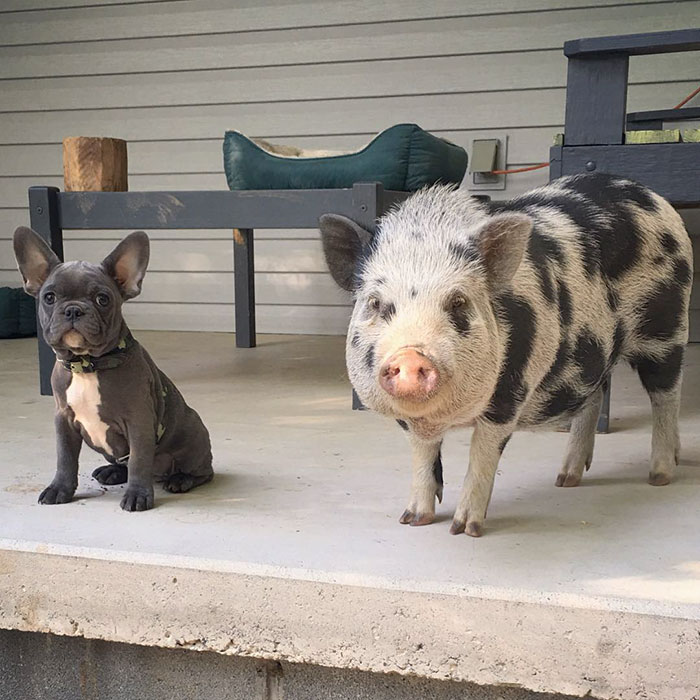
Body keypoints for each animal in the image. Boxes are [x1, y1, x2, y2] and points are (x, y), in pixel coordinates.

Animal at [12, 227, 212, 512]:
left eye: (102, 299)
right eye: (49, 297)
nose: (73, 310)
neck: (88, 365)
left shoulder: (139, 421)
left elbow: (139, 460)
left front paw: (138, 495)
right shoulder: (63, 420)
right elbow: (65, 459)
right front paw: (59, 489)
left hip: (193, 434)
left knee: (199, 470)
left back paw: (180, 479)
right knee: (124, 463)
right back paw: (113, 471)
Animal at [320, 174, 692, 536]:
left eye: (458, 302)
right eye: (375, 303)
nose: (411, 356)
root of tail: (649, 195)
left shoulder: (511, 388)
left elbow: (482, 451)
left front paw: (464, 529)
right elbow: (422, 453)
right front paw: (412, 519)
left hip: (667, 327)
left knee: (667, 394)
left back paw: (659, 476)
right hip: (594, 348)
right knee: (596, 392)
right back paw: (566, 479)